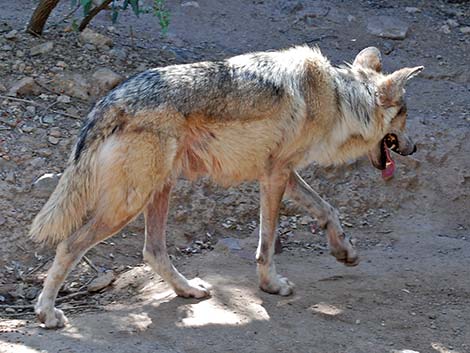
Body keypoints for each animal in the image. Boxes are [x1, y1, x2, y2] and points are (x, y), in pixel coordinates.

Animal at [31, 46, 424, 328]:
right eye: (405, 118)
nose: (414, 148)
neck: (339, 100)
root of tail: (108, 101)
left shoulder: (282, 172)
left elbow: (329, 209)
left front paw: (345, 252)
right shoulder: (274, 175)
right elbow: (267, 243)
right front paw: (271, 285)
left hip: (159, 190)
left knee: (152, 251)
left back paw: (188, 290)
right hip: (129, 204)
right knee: (70, 244)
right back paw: (47, 313)